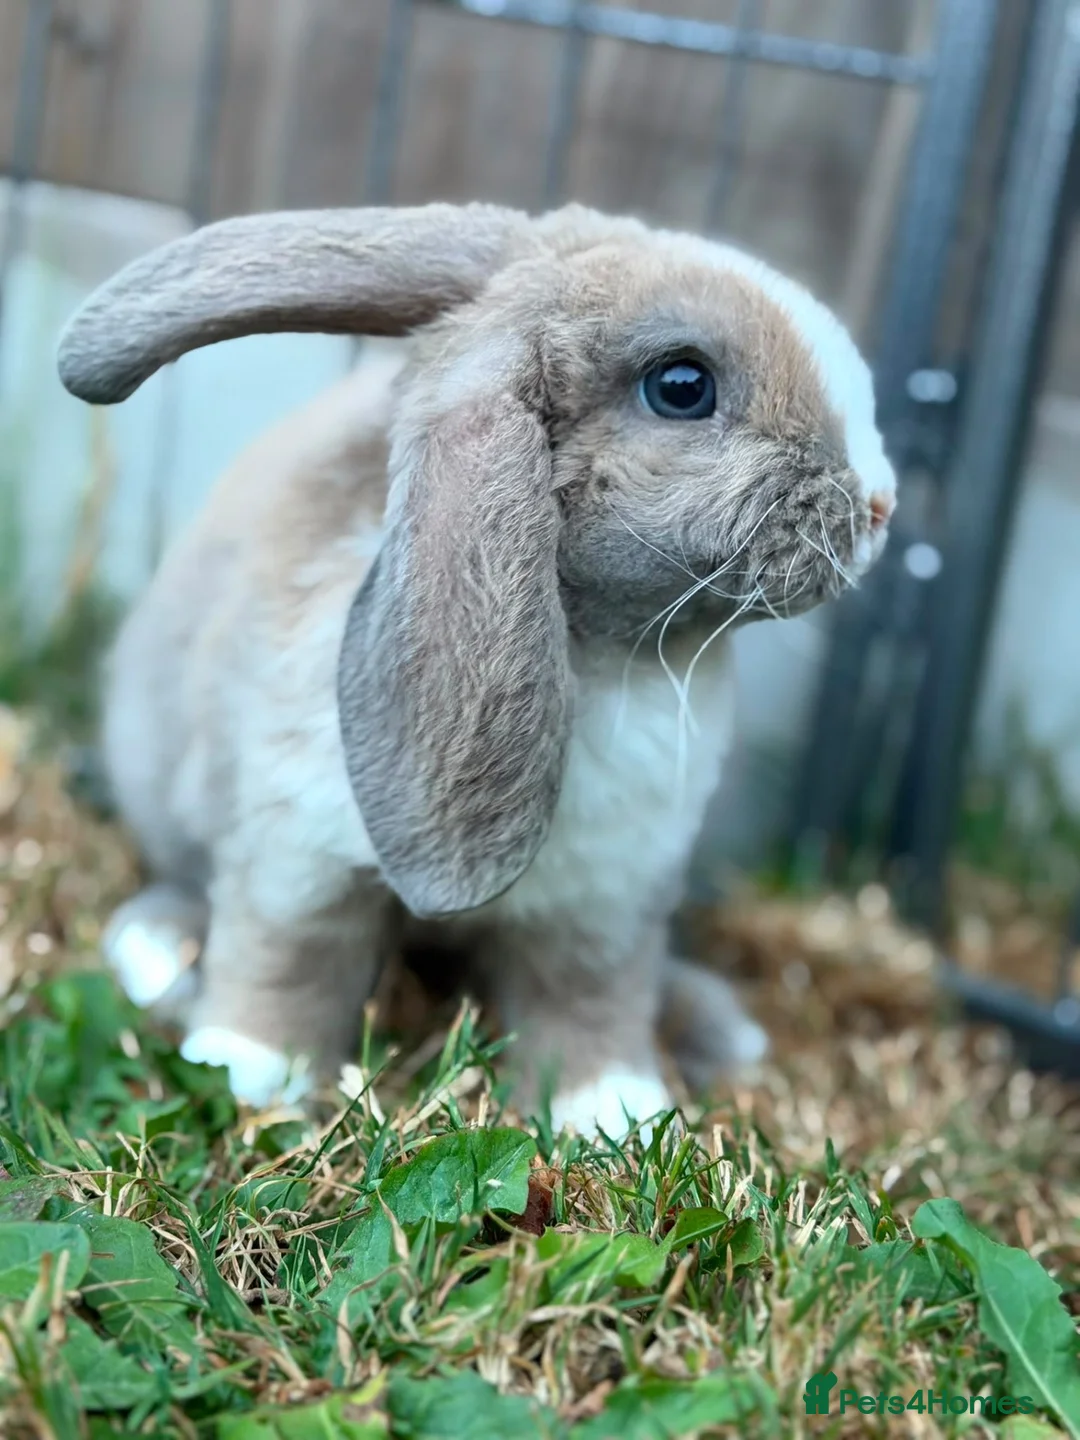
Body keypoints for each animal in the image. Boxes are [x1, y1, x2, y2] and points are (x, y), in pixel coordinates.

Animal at [58, 201, 896, 1138]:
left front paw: (611, 1108)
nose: (882, 503)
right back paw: (159, 956)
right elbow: (290, 961)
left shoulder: (606, 906)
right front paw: (249, 1071)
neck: (592, 654)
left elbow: (586, 1002)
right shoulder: (294, 858)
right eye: (682, 386)